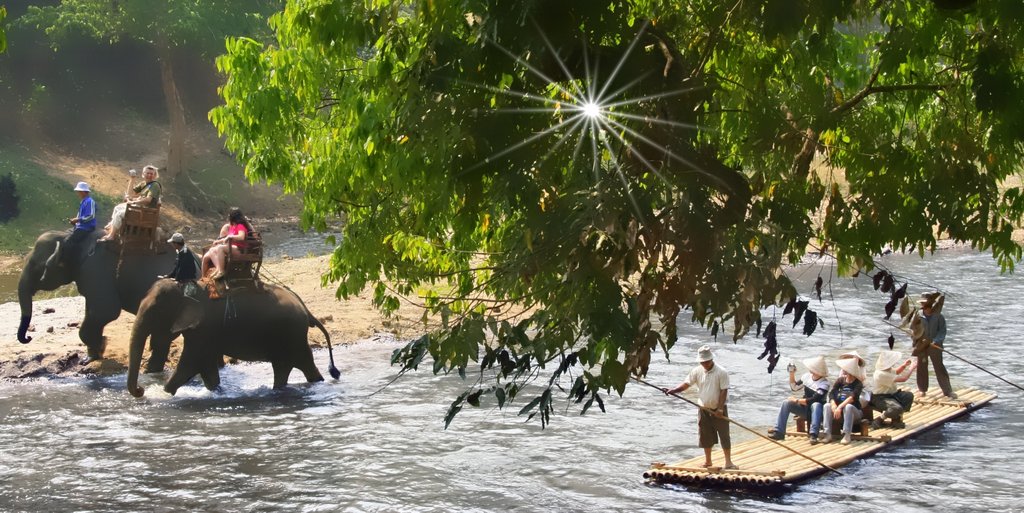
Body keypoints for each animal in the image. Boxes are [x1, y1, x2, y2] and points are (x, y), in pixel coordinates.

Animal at [17, 228, 178, 360]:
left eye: (35, 266)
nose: (29, 337)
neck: (70, 237)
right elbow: (94, 312)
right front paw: (93, 354)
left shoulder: (95, 270)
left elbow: (105, 311)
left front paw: (99, 348)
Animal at [128, 276, 339, 395]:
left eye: (156, 311)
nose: (140, 390)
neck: (184, 288)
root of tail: (305, 309)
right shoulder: (203, 331)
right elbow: (206, 368)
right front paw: (216, 392)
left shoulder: (204, 328)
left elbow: (190, 364)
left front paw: (161, 395)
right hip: (291, 336)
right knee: (293, 366)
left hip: (290, 335)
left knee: (295, 366)